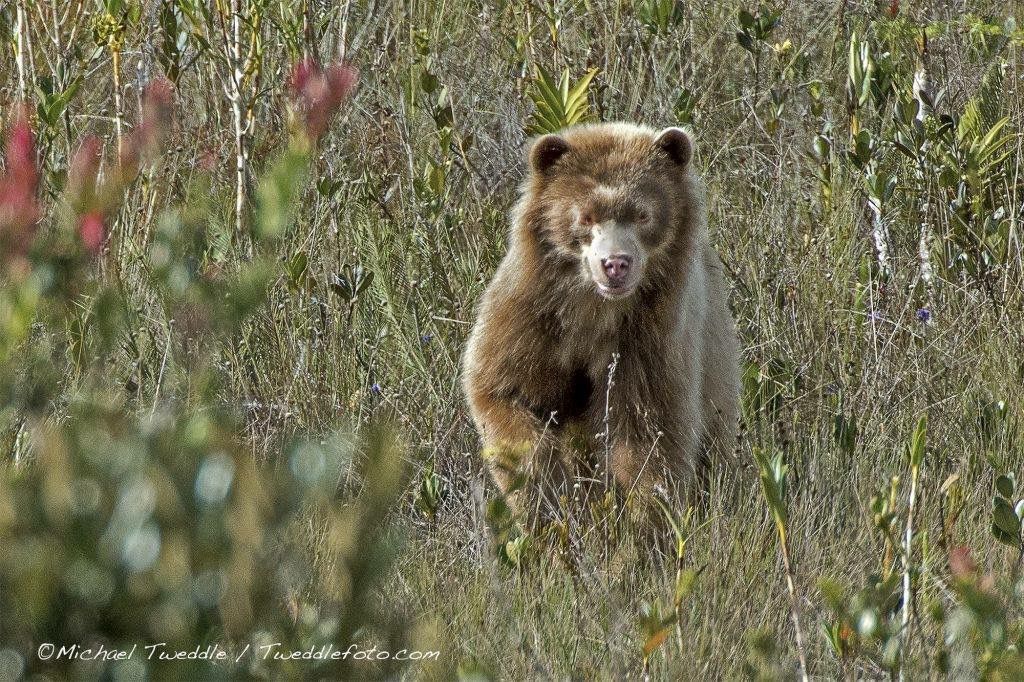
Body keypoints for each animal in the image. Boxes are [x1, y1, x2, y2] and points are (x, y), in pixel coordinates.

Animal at [462, 123, 737, 516]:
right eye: (586, 215)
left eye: (642, 214)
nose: (615, 263)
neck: (593, 311)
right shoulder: (530, 320)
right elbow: (504, 393)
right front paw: (548, 496)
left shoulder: (651, 338)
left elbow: (647, 433)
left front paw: (642, 518)